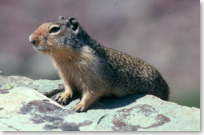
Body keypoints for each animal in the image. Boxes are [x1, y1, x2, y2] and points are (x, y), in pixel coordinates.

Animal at [28, 16, 169, 112]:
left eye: (54, 29)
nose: (31, 39)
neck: (66, 57)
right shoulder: (65, 73)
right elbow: (69, 86)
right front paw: (62, 96)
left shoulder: (92, 73)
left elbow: (92, 91)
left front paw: (79, 106)